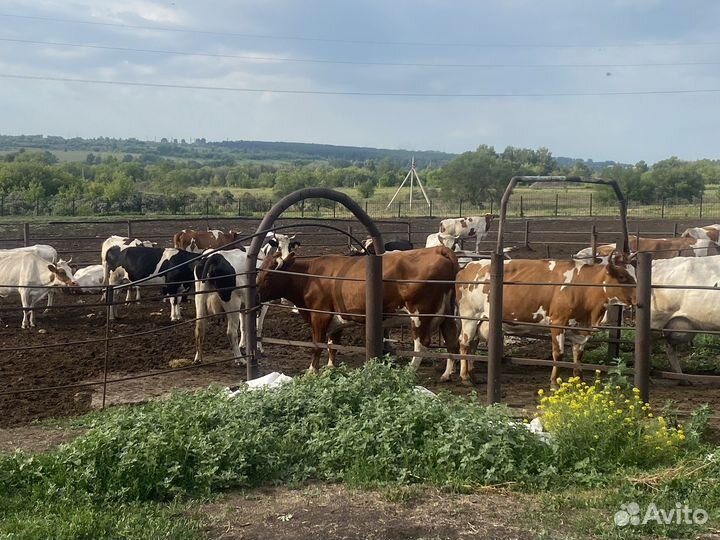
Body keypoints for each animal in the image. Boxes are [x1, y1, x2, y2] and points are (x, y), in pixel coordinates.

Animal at [257, 246, 460, 373]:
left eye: (268, 275)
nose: (255, 294)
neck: (309, 277)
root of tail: (437, 249)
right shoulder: (335, 321)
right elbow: (333, 345)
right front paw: (330, 368)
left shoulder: (320, 316)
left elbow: (317, 345)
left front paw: (311, 371)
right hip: (447, 313)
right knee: (451, 339)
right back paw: (447, 373)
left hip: (419, 314)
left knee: (421, 343)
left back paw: (409, 371)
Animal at [445, 252, 637, 386]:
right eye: (622, 277)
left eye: (634, 275)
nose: (638, 298)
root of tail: (467, 266)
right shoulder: (558, 322)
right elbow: (558, 354)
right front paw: (554, 382)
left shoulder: (580, 328)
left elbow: (578, 354)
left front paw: (579, 381)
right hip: (469, 316)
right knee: (464, 343)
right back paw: (464, 377)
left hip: (480, 321)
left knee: (473, 344)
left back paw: (473, 375)